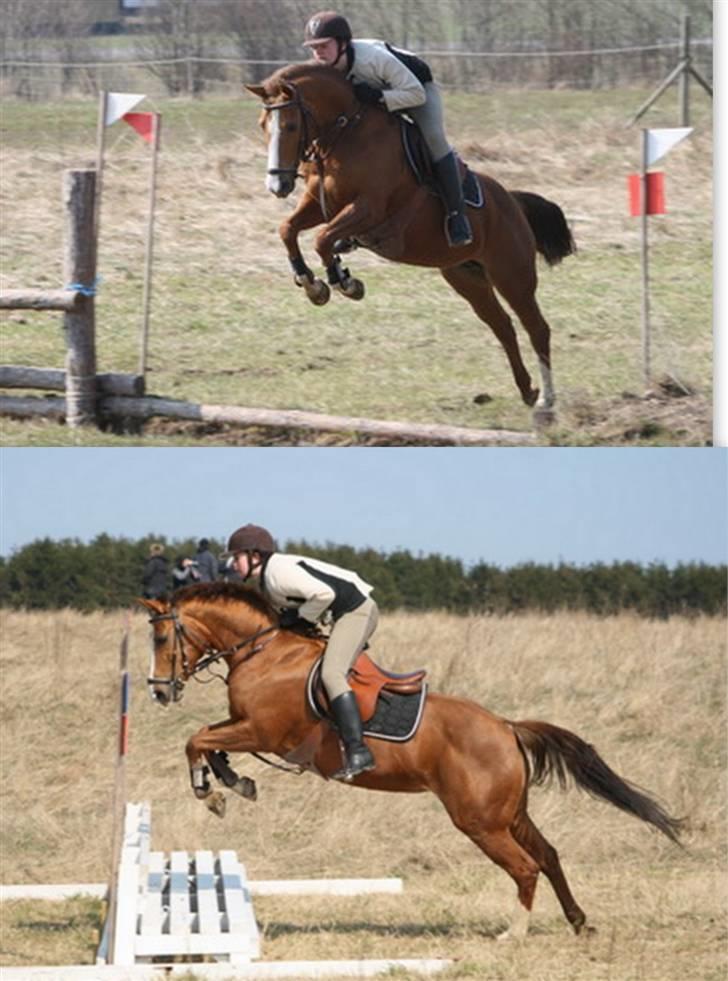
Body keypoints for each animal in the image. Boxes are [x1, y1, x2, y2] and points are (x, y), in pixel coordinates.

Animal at [141, 583, 683, 940]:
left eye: (162, 640)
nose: (160, 691)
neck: (264, 650)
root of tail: (506, 727)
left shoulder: (263, 730)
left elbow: (195, 739)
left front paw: (212, 791)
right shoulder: (244, 726)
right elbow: (208, 741)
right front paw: (232, 783)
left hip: (479, 820)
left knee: (526, 867)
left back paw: (515, 933)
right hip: (510, 813)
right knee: (548, 856)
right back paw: (579, 922)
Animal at [245, 62, 576, 412]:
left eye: (291, 125)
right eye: (263, 125)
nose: (277, 186)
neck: (345, 132)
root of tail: (513, 203)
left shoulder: (369, 208)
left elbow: (322, 239)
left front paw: (344, 283)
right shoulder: (319, 204)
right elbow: (288, 230)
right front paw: (312, 285)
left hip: (511, 274)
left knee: (536, 327)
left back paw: (546, 400)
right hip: (466, 277)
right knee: (502, 325)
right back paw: (527, 390)